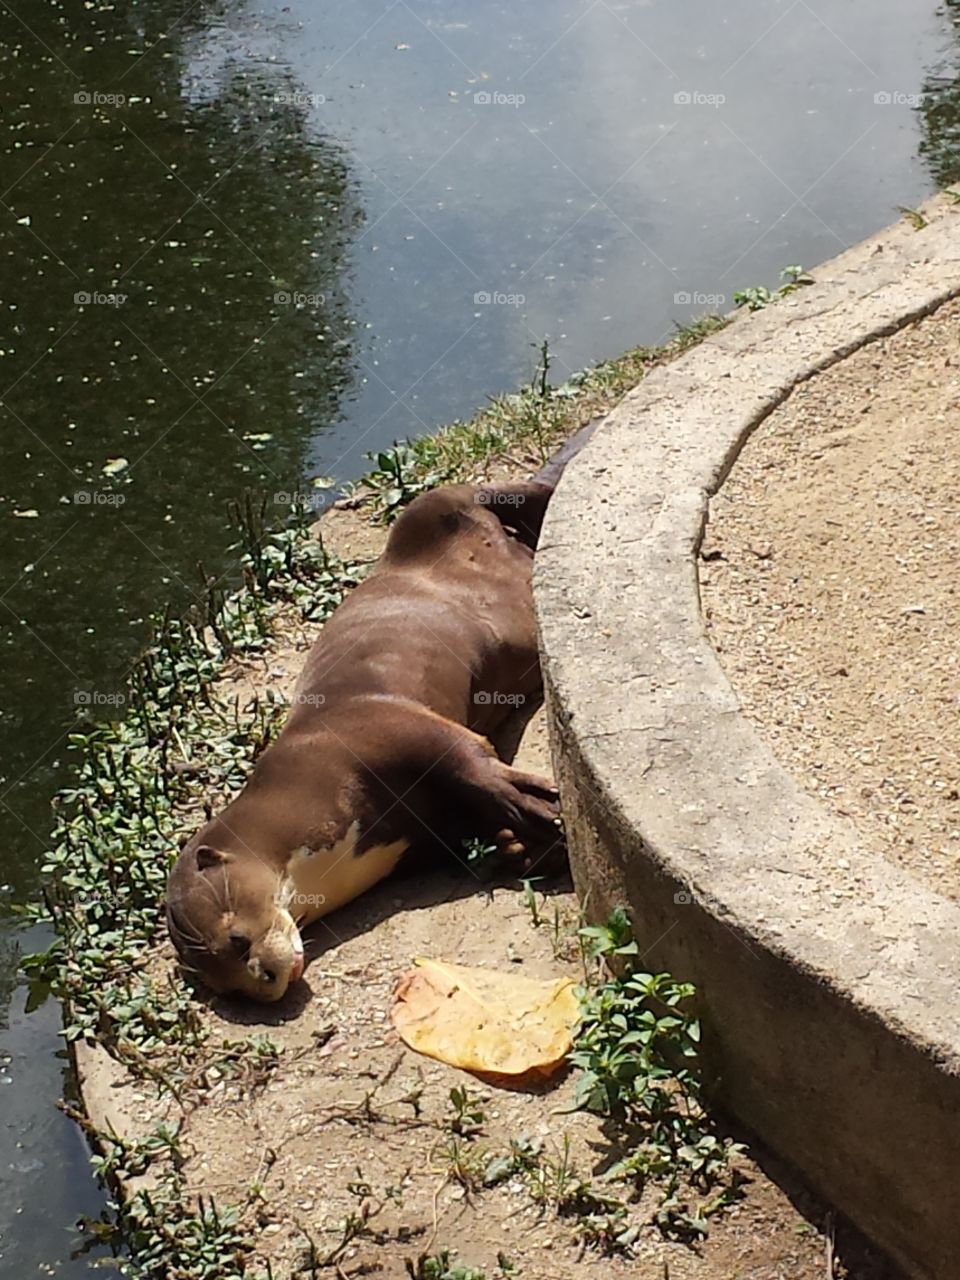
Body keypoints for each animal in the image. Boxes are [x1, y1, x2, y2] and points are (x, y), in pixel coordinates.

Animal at [166, 425, 595, 1001]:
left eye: (236, 941)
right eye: (231, 989)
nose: (265, 979)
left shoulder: (383, 728)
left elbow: (473, 760)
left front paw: (542, 807)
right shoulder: (416, 837)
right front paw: (520, 844)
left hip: (435, 507)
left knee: (501, 491)